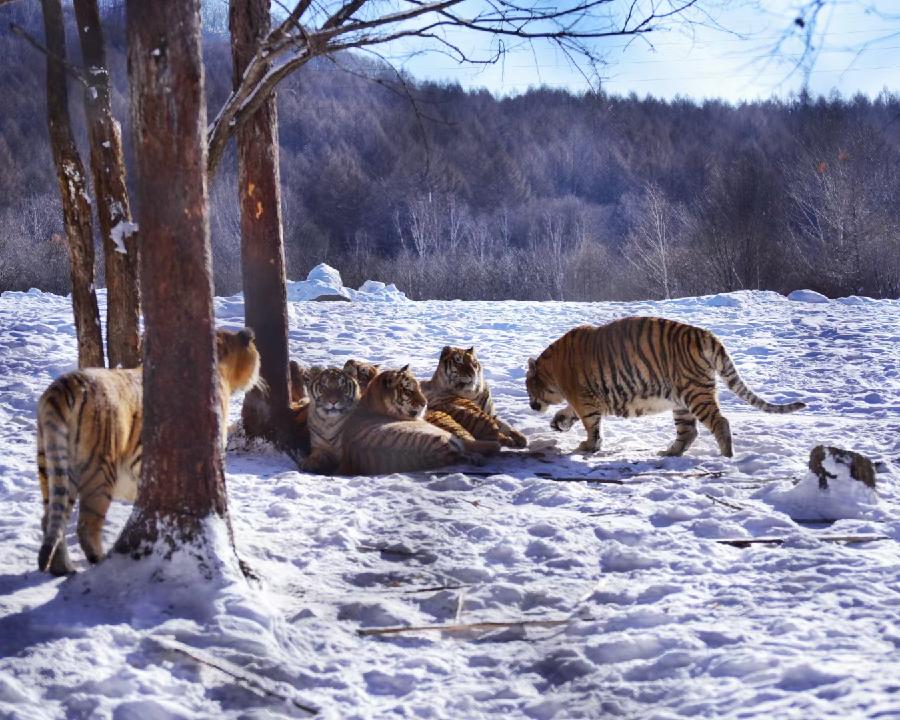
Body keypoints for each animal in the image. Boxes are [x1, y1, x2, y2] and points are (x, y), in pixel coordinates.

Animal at [37, 328, 262, 576]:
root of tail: (65, 385)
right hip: (100, 471)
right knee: (86, 525)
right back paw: (99, 561)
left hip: (52, 465)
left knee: (50, 519)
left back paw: (62, 568)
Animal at [525, 317, 806, 458]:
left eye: (528, 388)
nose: (531, 405)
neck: (552, 370)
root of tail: (706, 334)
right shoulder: (588, 399)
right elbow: (571, 413)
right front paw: (558, 423)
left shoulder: (584, 399)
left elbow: (591, 425)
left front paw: (588, 446)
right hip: (681, 401)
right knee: (688, 431)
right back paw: (670, 452)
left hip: (696, 393)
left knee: (720, 422)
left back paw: (726, 456)